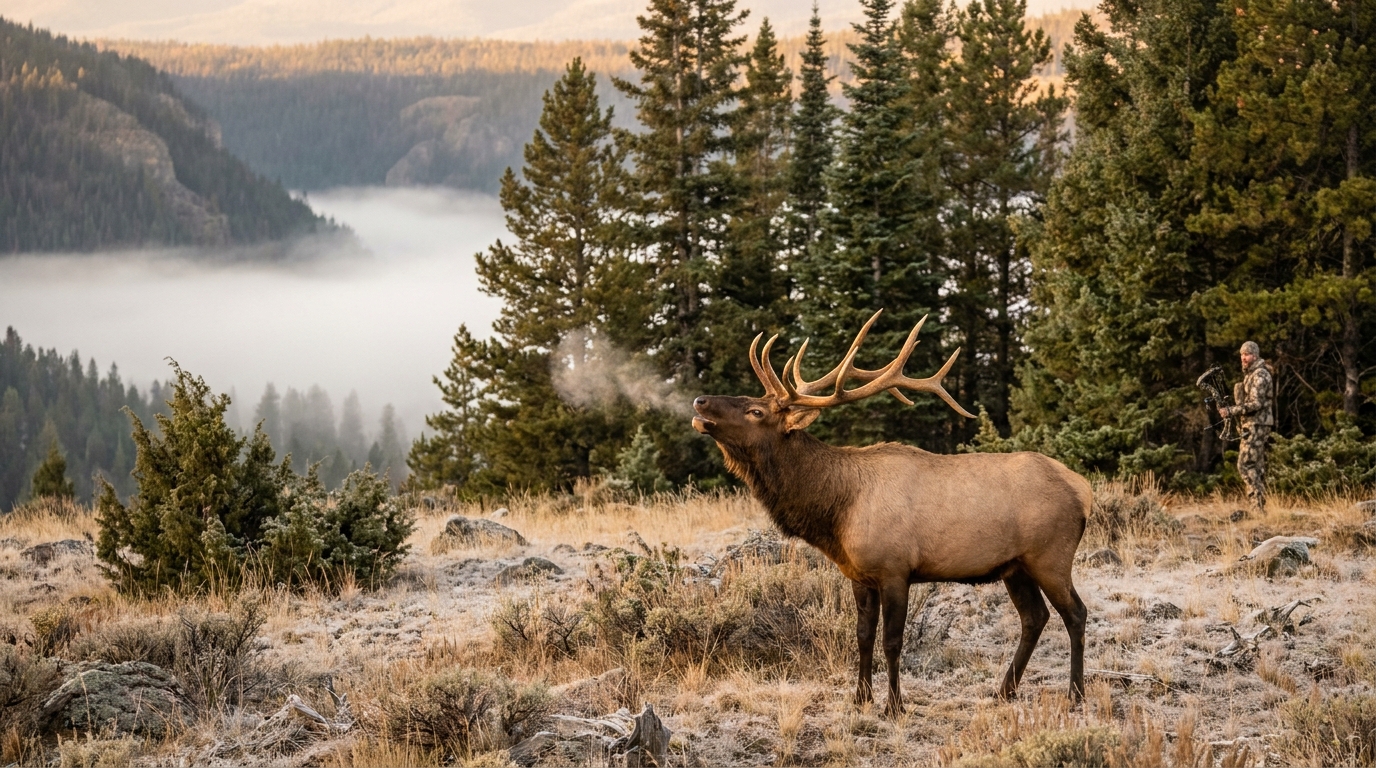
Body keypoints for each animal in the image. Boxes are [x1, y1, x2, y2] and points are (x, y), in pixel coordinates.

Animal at [691, 310, 1091, 716]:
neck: (837, 512)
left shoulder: (895, 569)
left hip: (1051, 556)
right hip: (1015, 566)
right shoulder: (859, 574)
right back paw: (1005, 690)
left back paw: (1076, 693)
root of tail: (1082, 488)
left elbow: (892, 641)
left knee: (1075, 613)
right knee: (1035, 617)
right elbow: (863, 636)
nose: (700, 401)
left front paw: (894, 705)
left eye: (755, 411)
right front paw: (860, 697)